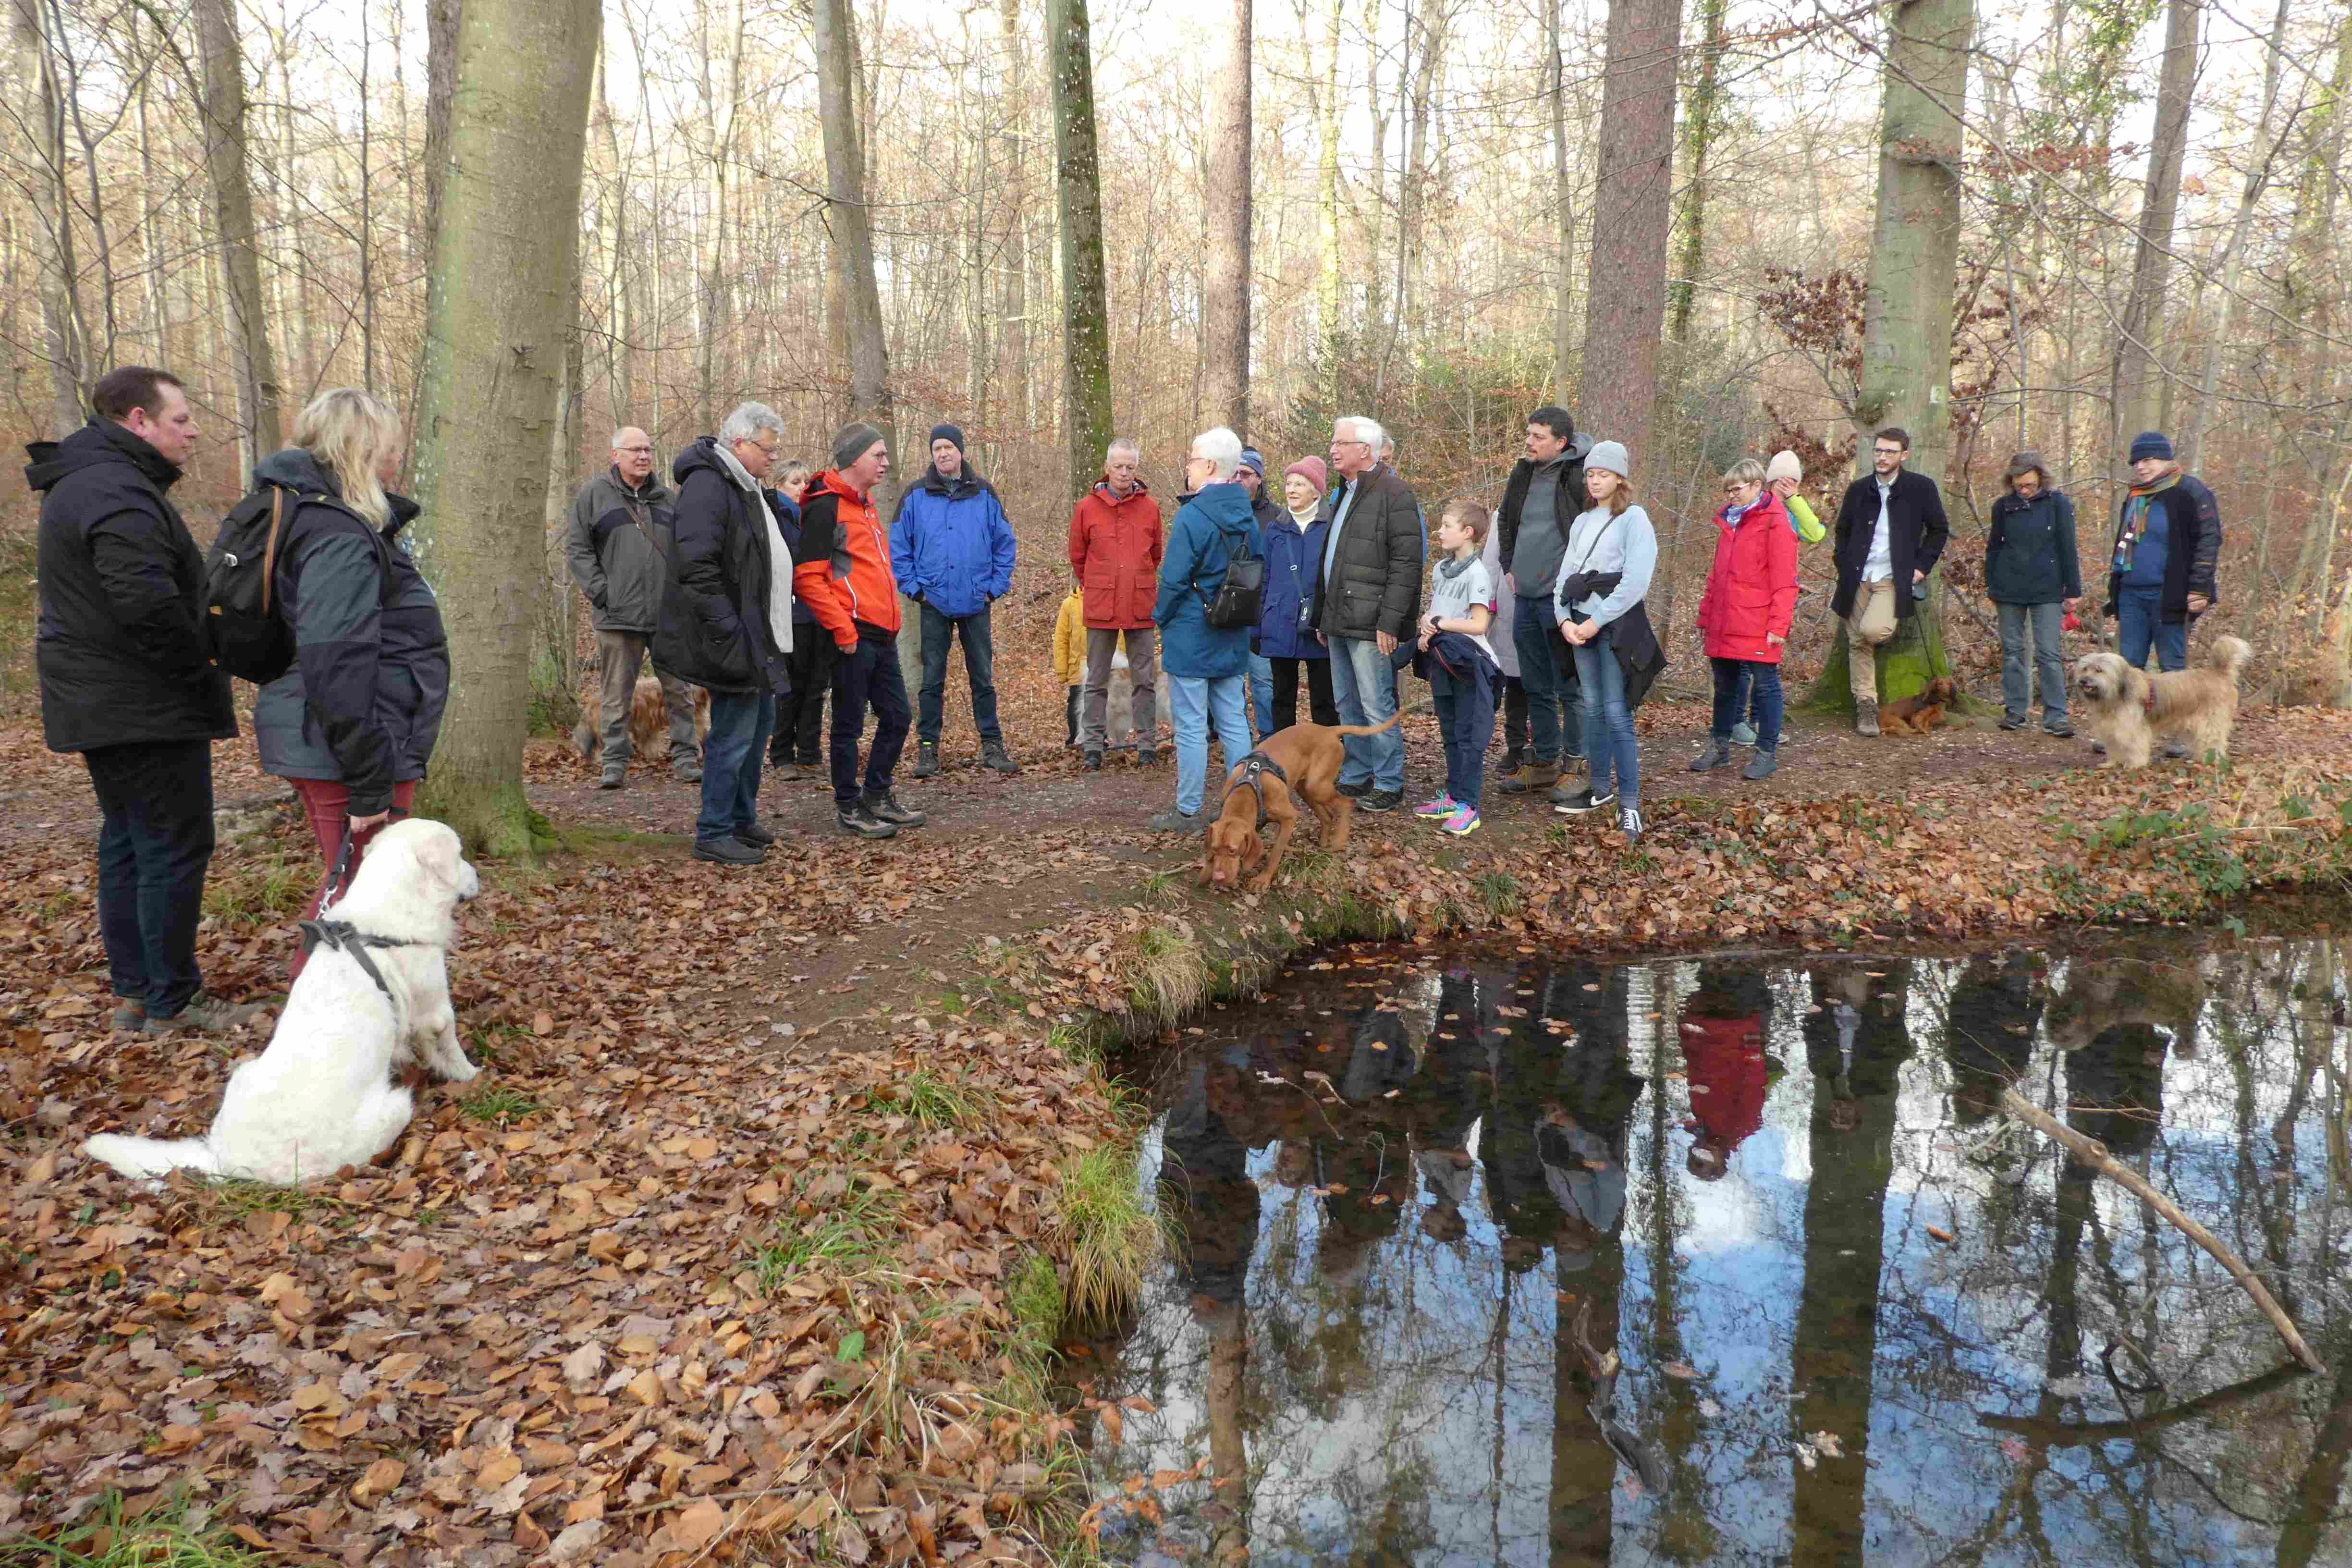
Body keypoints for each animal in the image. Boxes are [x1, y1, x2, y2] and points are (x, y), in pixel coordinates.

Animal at [87, 818, 482, 1185]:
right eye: (461, 854)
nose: (478, 877)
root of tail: (227, 1162)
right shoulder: (436, 1009)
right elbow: (450, 1047)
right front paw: (471, 1077)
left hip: (244, 1072)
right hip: (395, 1107)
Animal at [1204, 714, 1402, 893]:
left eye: (1232, 850)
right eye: (1215, 848)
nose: (1218, 878)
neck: (1249, 787)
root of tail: (1329, 730)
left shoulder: (1289, 819)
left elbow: (1275, 854)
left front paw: (1263, 879)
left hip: (1317, 786)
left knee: (1346, 803)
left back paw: (1339, 840)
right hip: (1305, 788)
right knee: (1327, 816)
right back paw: (1323, 843)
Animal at [1881, 677, 1957, 738]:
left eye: (1948, 683)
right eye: (1939, 683)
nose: (1945, 690)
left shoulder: (1937, 714)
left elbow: (1932, 720)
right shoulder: (1918, 716)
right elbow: (1921, 723)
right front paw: (1924, 730)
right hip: (1899, 721)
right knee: (1906, 729)